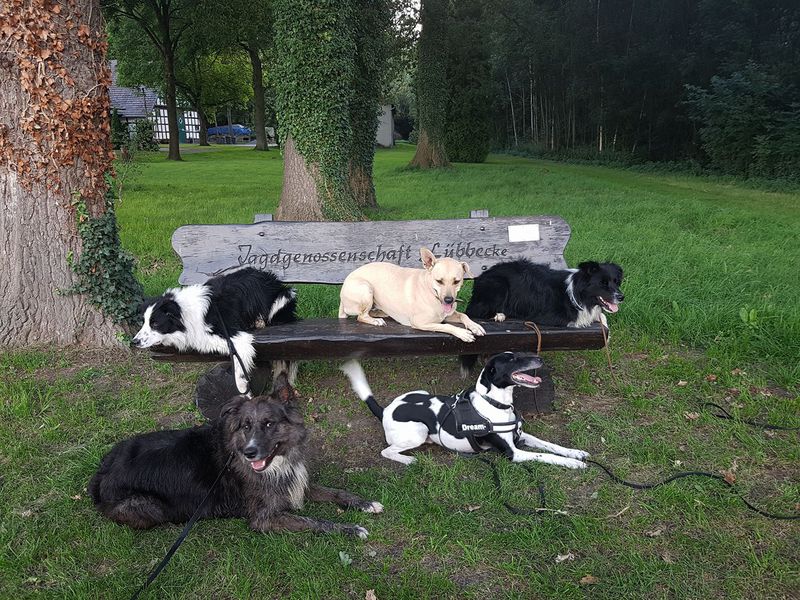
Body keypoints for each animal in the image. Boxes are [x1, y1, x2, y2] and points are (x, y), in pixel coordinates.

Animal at [89, 374, 383, 538]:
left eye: (269, 424)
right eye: (245, 426)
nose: (249, 452)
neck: (277, 463)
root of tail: (101, 473)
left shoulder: (295, 483)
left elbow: (337, 492)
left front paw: (366, 503)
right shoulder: (265, 518)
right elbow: (313, 521)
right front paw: (349, 529)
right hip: (148, 505)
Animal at [132, 267, 298, 394]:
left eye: (155, 324)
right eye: (144, 322)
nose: (134, 342)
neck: (184, 312)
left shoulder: (236, 339)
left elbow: (239, 375)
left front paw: (246, 395)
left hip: (283, 297)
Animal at [338, 247, 486, 343]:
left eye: (457, 281)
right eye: (439, 281)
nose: (449, 300)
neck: (431, 293)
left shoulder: (449, 314)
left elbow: (463, 315)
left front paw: (475, 326)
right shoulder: (421, 323)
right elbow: (446, 326)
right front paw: (462, 332)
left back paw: (380, 313)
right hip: (366, 288)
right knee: (361, 316)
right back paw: (375, 320)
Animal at [341, 353, 589, 468]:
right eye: (512, 359)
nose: (539, 358)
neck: (496, 404)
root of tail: (385, 410)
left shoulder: (521, 436)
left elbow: (550, 445)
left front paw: (575, 453)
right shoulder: (514, 453)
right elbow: (546, 456)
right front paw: (573, 464)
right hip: (418, 431)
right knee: (387, 451)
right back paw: (408, 460)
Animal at [461, 260, 624, 374]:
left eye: (616, 282)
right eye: (603, 283)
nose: (621, 297)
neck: (577, 291)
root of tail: (482, 276)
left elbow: (602, 316)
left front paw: (607, 334)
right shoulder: (554, 317)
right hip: (498, 285)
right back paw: (499, 315)